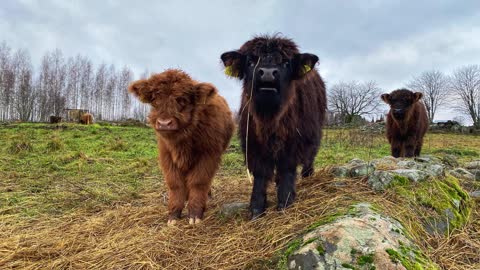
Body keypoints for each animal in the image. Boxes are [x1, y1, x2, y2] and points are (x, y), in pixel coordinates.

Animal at [127, 69, 232, 224]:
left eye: (182, 99)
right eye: (154, 99)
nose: (164, 123)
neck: (181, 143)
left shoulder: (208, 155)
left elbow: (199, 181)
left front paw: (195, 214)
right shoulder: (166, 156)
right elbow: (175, 184)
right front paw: (174, 214)